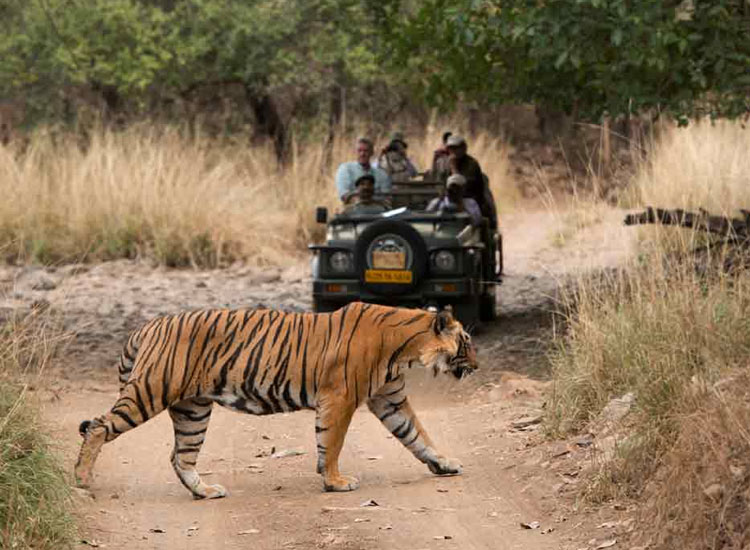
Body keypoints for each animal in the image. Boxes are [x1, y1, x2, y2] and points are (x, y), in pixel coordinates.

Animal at [75, 302, 476, 500]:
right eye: (467, 341)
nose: (477, 365)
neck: (405, 348)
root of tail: (146, 326)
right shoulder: (341, 397)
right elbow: (332, 443)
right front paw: (335, 482)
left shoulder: (388, 399)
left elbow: (418, 435)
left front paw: (444, 464)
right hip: (150, 391)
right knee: (98, 426)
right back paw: (81, 480)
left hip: (193, 410)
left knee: (180, 457)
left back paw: (206, 491)